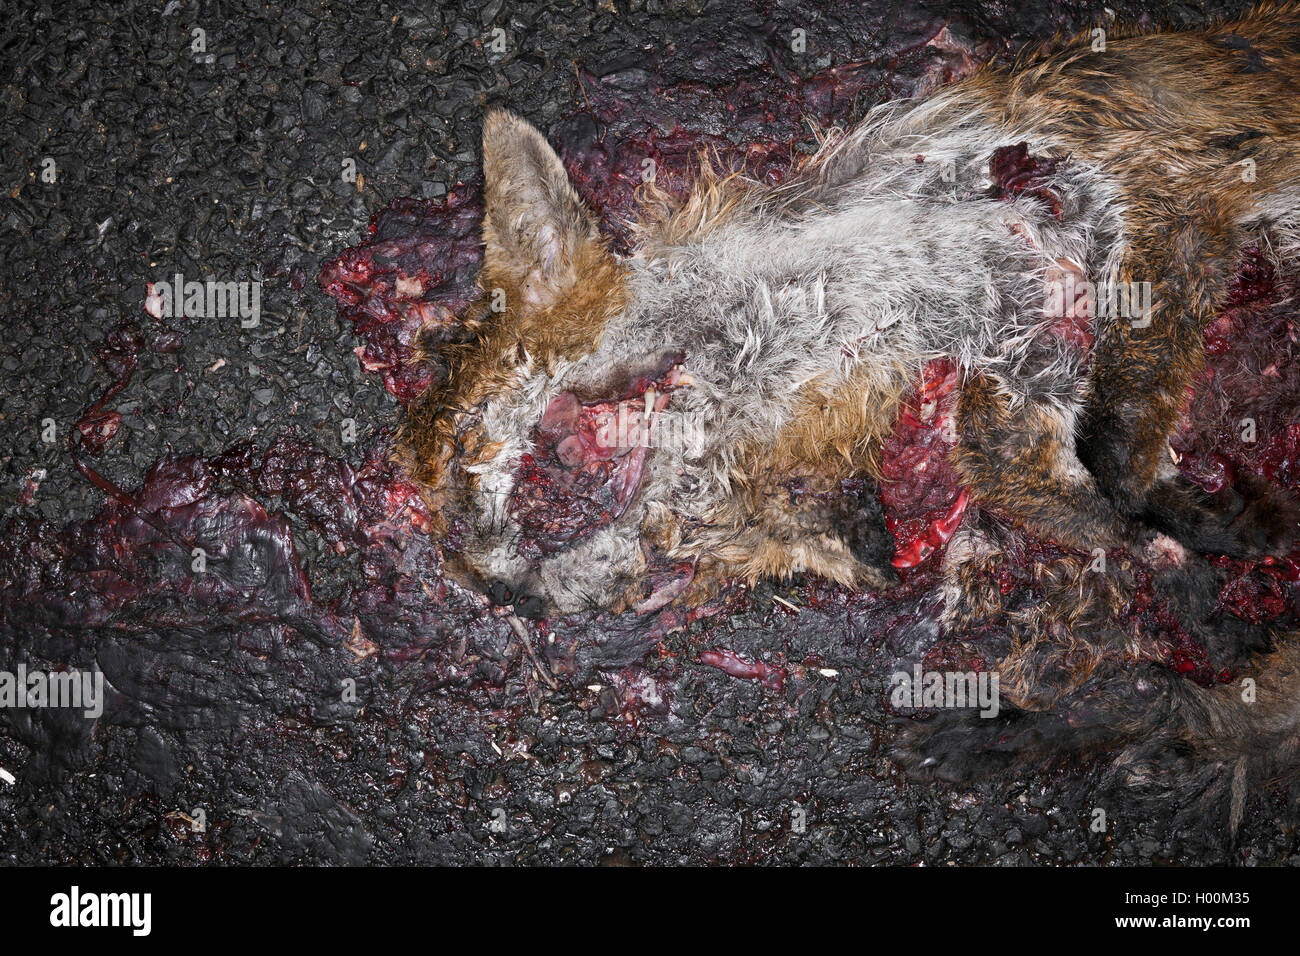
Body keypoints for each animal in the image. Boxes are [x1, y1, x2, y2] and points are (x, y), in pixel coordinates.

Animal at [400, 6, 1300, 826]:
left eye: (466, 442)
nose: (501, 591)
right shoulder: (1016, 384)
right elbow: (1060, 489)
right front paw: (1186, 554)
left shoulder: (1163, 213)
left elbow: (1118, 451)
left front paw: (1189, 535)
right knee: (1192, 711)